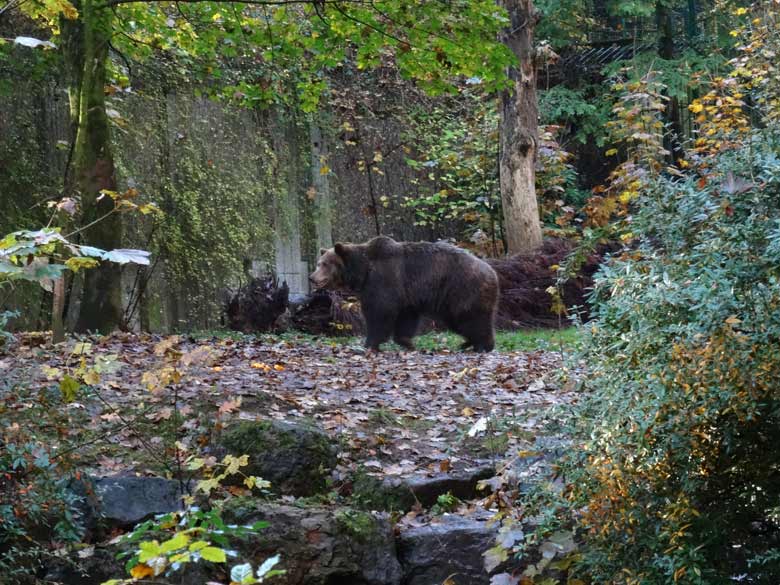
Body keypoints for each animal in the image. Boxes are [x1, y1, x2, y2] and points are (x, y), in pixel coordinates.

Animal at [308, 234, 496, 352]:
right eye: (319, 263)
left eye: (325, 264)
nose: (312, 277)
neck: (363, 271)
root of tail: (491, 271)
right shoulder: (407, 295)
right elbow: (406, 318)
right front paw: (407, 342)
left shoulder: (384, 280)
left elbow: (379, 312)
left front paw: (369, 343)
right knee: (460, 322)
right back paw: (467, 343)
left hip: (462, 289)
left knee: (471, 318)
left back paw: (482, 345)